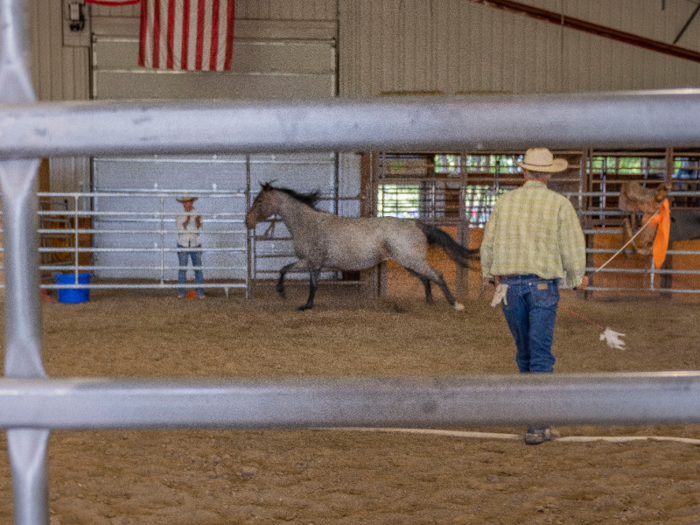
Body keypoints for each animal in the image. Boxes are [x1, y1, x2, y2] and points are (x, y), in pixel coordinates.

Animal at [243, 182, 478, 310]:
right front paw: (307, 306)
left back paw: (456, 304)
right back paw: (429, 303)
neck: (308, 224)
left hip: (412, 260)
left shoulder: (309, 261)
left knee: (436, 275)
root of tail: (415, 223)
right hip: (409, 262)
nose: (247, 221)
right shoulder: (315, 265)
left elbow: (283, 270)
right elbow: (313, 286)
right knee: (427, 278)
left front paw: (282, 293)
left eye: (260, 200)